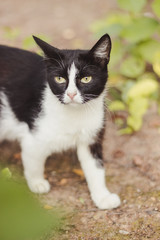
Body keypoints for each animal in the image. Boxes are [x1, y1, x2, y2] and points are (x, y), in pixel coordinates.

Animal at [0, 34, 120, 210]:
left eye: (86, 79)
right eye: (59, 79)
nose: (71, 94)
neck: (74, 115)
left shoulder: (91, 136)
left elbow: (95, 167)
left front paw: (102, 196)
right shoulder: (33, 137)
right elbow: (33, 161)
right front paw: (37, 183)